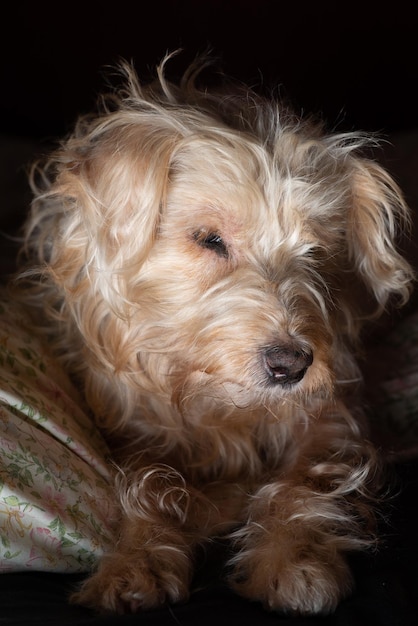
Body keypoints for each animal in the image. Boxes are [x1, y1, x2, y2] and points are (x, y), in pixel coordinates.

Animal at [11, 53, 414, 616]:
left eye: (316, 250)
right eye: (210, 239)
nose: (290, 366)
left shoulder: (330, 415)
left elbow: (303, 482)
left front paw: (297, 560)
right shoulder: (133, 431)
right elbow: (148, 485)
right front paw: (136, 561)